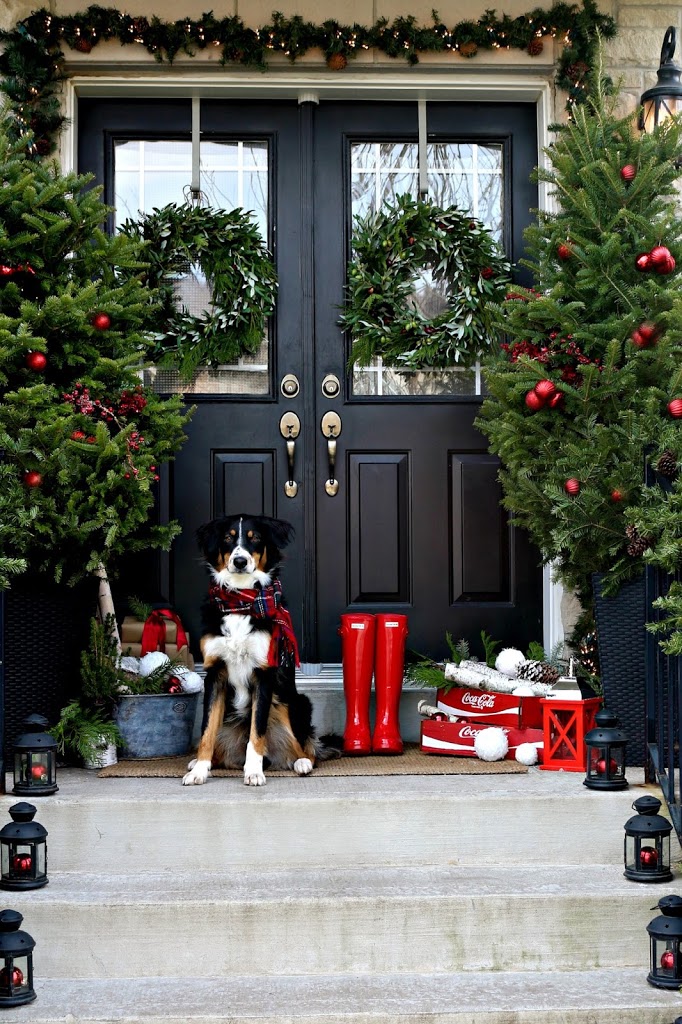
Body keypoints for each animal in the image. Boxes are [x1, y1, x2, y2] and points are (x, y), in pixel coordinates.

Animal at [182, 516, 337, 786]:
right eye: (228, 537)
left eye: (255, 538)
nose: (240, 561)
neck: (241, 602)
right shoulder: (214, 674)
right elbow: (206, 730)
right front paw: (200, 769)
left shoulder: (264, 674)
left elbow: (257, 731)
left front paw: (254, 771)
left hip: (293, 702)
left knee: (305, 745)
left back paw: (302, 762)